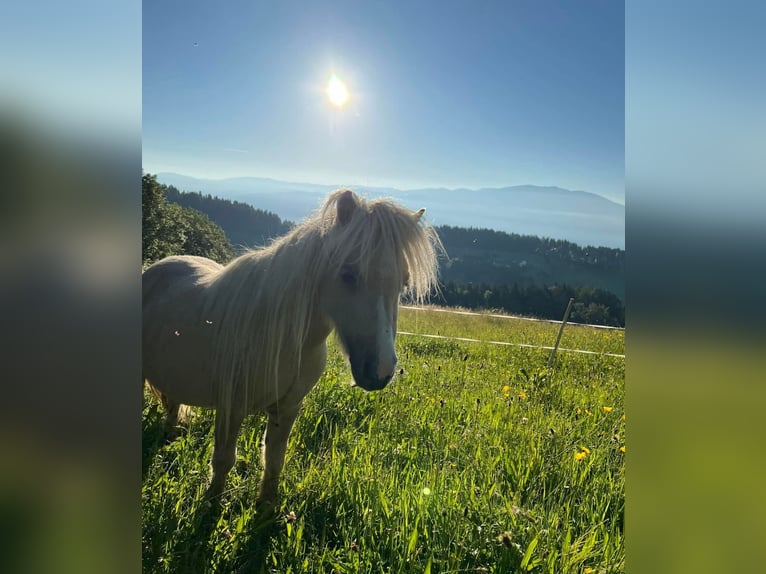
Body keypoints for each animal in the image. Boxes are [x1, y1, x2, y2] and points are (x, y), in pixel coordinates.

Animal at [142, 189, 444, 504]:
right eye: (348, 275)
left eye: (404, 283)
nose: (381, 371)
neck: (283, 337)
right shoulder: (231, 407)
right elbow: (224, 460)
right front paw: (211, 504)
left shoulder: (287, 408)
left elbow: (274, 461)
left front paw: (266, 507)